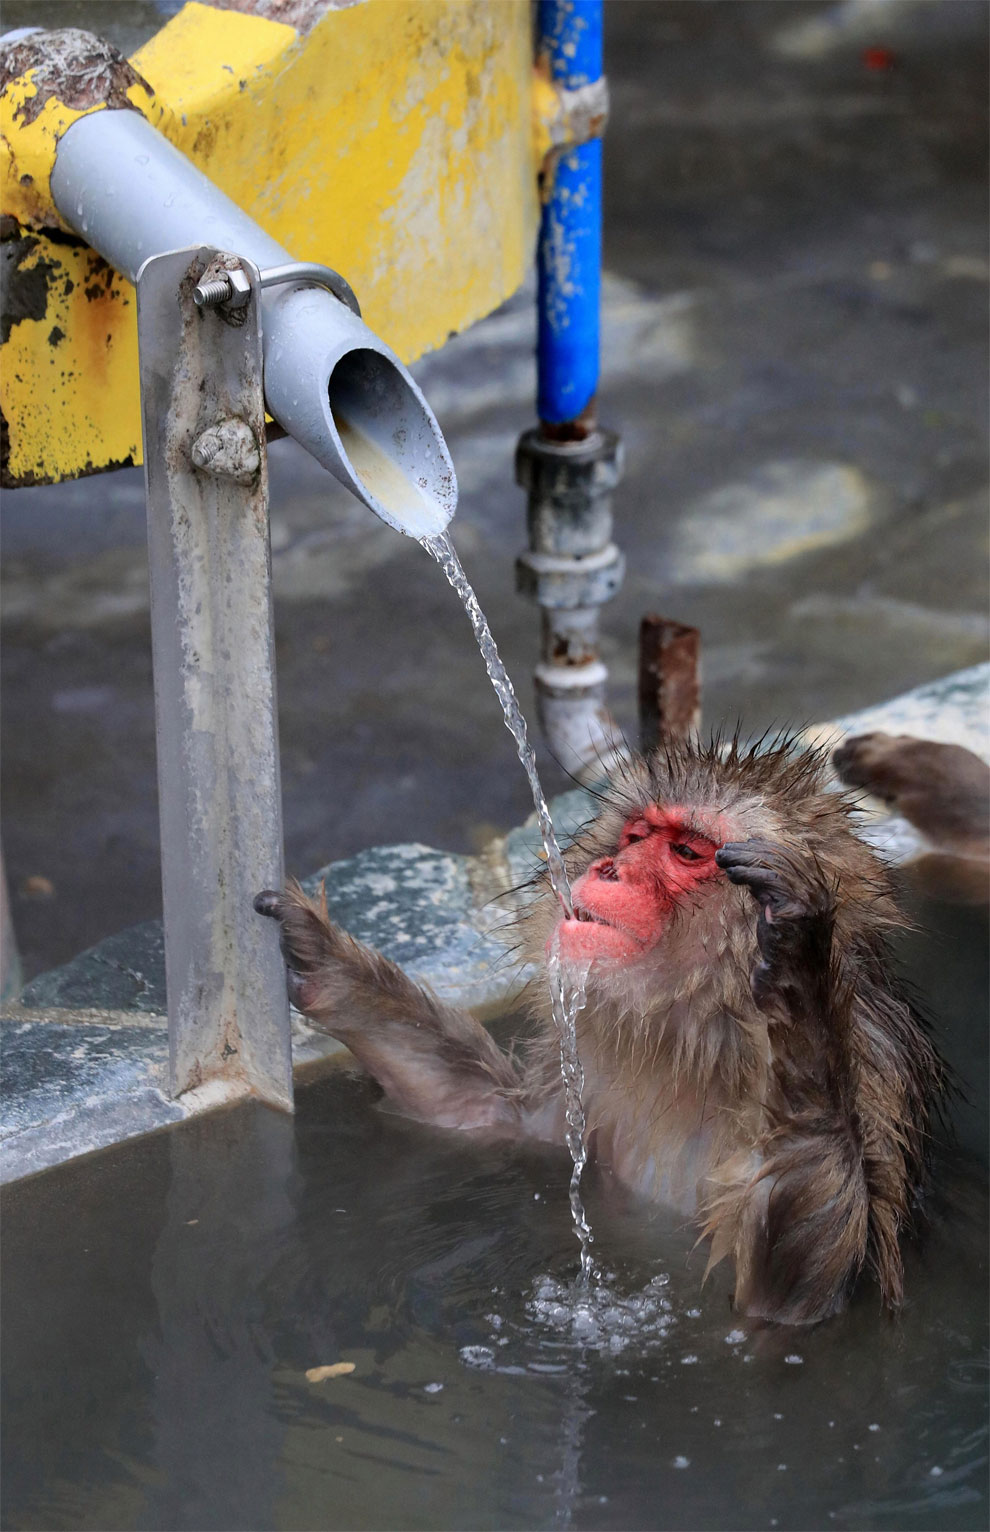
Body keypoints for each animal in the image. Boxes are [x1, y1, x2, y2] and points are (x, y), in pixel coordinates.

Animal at [255, 734, 945, 1327]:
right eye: (637, 834)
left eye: (687, 851)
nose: (610, 868)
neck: (704, 1042)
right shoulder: (587, 1078)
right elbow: (482, 1110)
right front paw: (326, 963)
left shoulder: (877, 1085)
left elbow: (791, 1297)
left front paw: (800, 956)